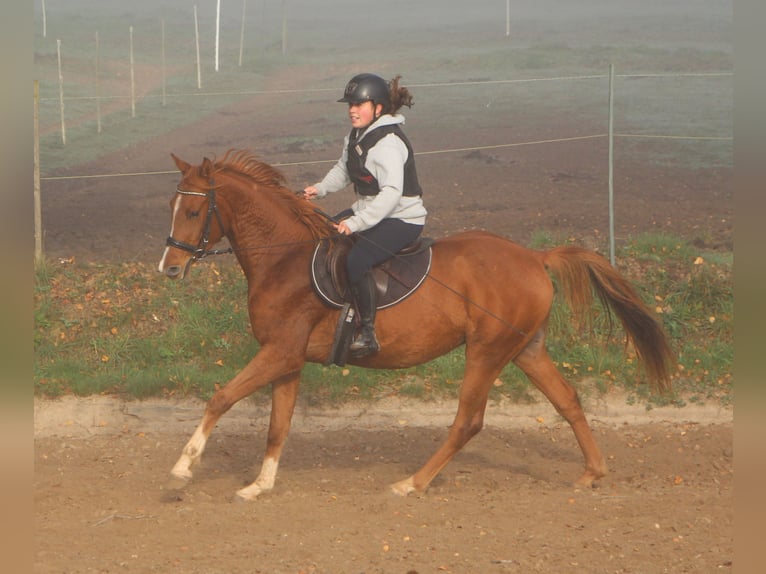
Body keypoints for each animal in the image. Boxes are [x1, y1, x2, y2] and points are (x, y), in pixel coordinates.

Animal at [160, 151, 672, 502]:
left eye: (193, 212)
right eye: (173, 207)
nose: (169, 267)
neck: (285, 258)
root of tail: (534, 256)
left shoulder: (279, 352)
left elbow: (221, 397)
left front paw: (184, 467)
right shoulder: (288, 358)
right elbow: (277, 425)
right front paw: (259, 485)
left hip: (486, 351)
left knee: (468, 421)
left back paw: (412, 483)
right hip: (526, 348)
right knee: (567, 400)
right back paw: (592, 472)